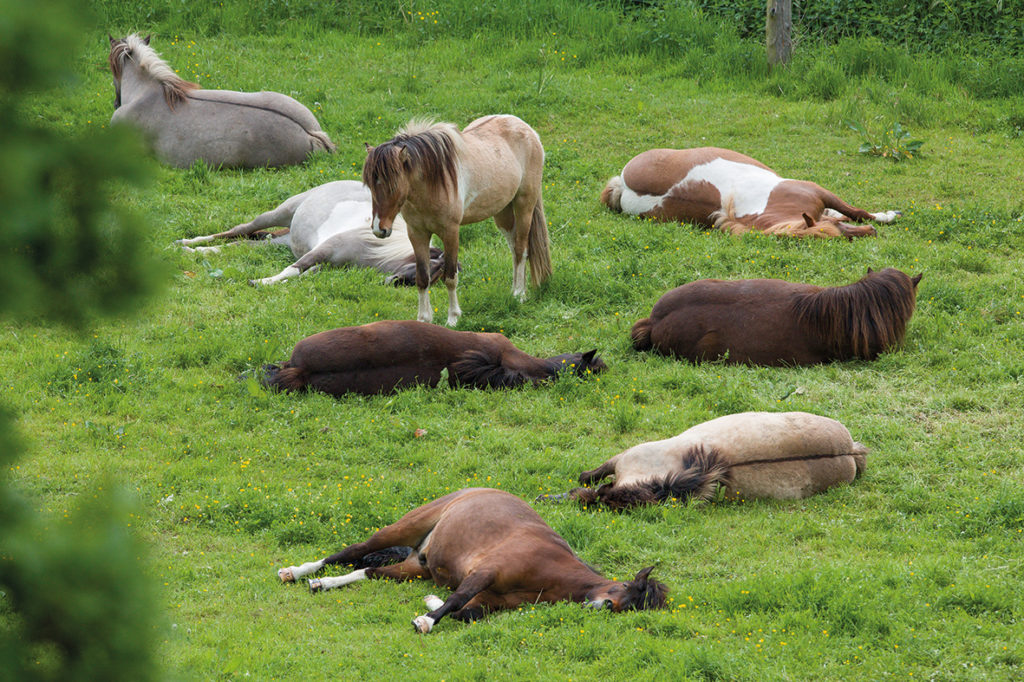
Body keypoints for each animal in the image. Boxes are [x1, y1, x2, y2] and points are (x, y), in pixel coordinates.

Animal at [175, 181, 447, 286]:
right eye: (432, 270)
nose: (392, 283)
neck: (375, 249)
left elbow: (306, 273)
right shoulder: (323, 250)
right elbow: (293, 269)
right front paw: (261, 282)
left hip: (280, 242)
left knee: (243, 244)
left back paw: (201, 251)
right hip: (279, 213)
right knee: (239, 230)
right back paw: (188, 243)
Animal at [277, 488, 668, 632]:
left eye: (633, 606)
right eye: (625, 590)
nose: (597, 608)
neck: (552, 569)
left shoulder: (491, 602)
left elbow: (464, 612)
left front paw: (429, 605)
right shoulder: (485, 572)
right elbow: (457, 599)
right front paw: (425, 621)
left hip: (414, 567)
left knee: (369, 571)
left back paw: (322, 583)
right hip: (400, 530)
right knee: (351, 551)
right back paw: (298, 571)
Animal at [363, 115, 551, 326]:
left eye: (393, 186)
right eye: (370, 185)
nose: (379, 229)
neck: (432, 183)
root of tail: (527, 130)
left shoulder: (450, 232)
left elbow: (451, 276)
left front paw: (453, 318)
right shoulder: (417, 234)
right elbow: (422, 278)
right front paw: (423, 319)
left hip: (524, 205)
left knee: (521, 250)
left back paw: (519, 295)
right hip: (503, 213)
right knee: (514, 250)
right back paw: (516, 291)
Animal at [601, 147, 900, 238]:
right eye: (835, 236)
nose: (872, 234)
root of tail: (623, 185)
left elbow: (851, 211)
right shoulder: (818, 190)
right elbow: (854, 212)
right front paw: (885, 217)